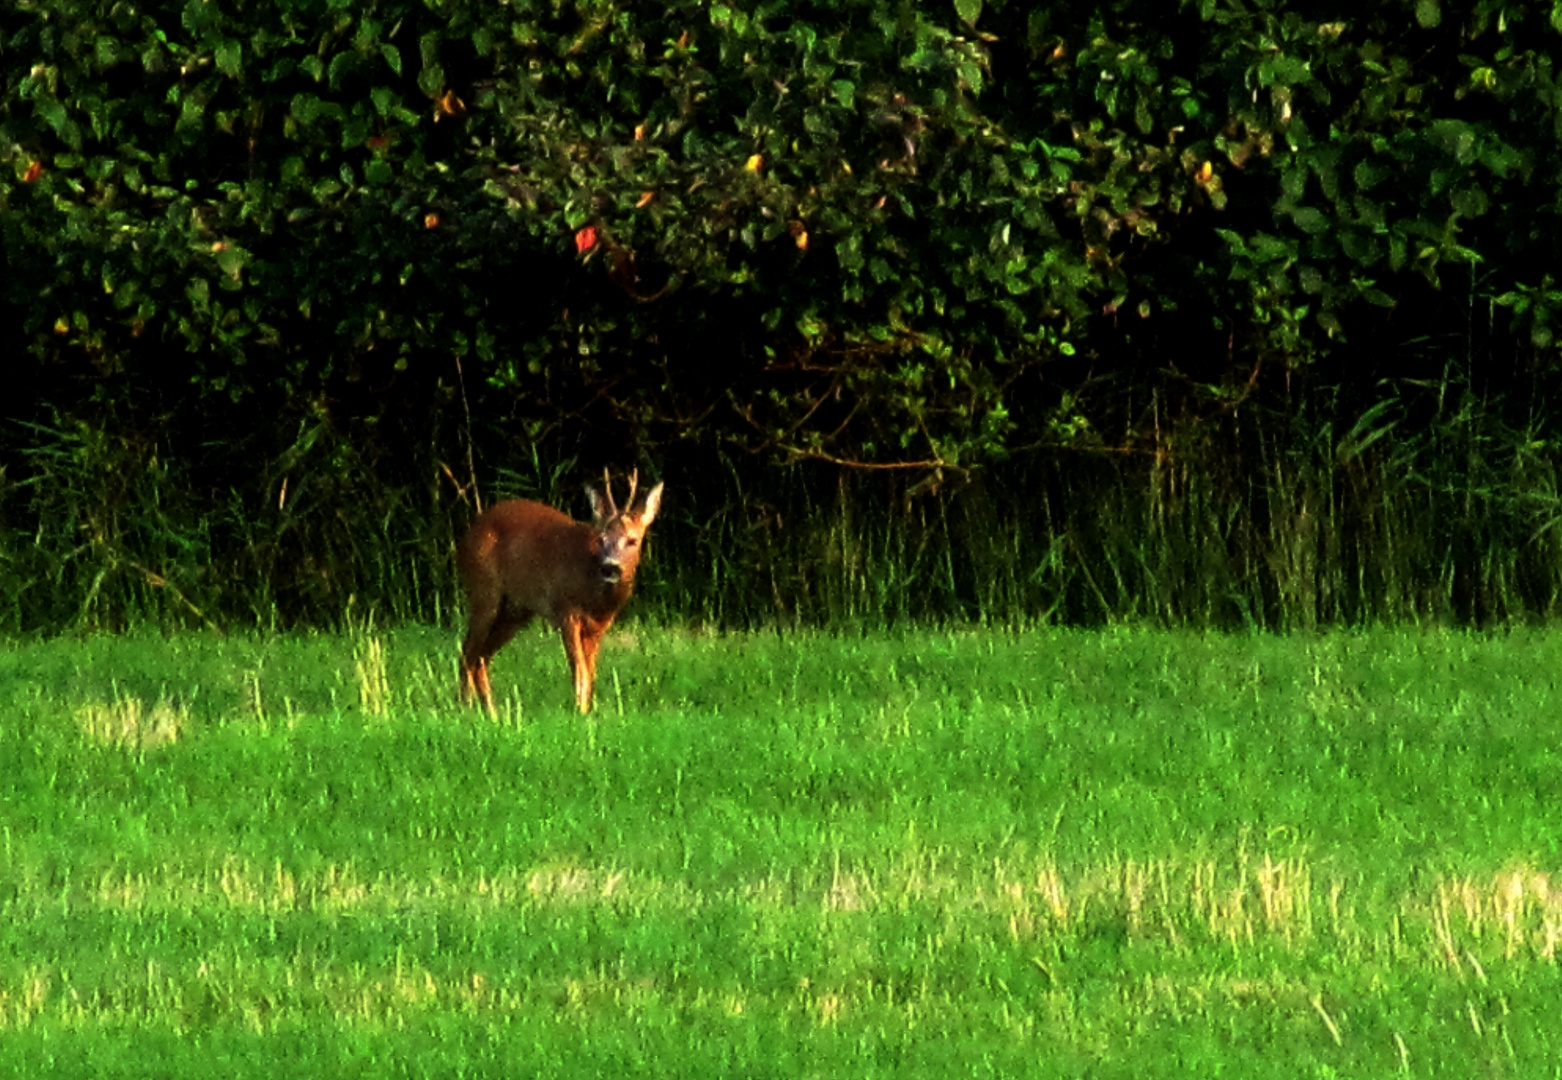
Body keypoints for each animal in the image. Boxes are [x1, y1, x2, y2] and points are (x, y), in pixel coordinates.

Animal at [456, 472, 665, 718]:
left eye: (632, 540)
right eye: (601, 539)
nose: (610, 567)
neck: (596, 596)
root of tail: (468, 534)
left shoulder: (599, 625)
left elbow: (590, 671)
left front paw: (587, 711)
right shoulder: (565, 609)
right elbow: (578, 668)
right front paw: (579, 712)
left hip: (515, 611)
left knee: (481, 655)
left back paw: (492, 713)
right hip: (484, 591)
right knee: (467, 651)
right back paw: (466, 708)